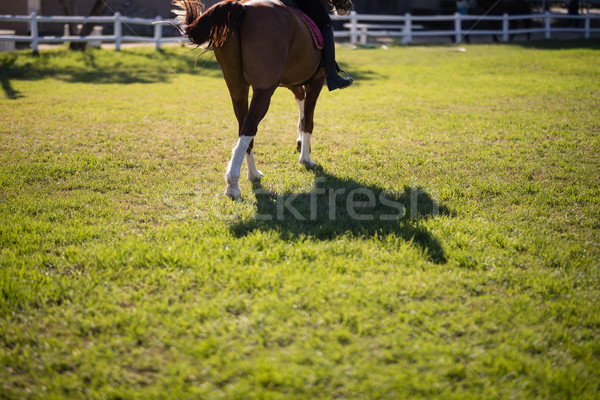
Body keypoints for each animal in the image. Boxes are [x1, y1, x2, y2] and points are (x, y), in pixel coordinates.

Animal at [171, 0, 354, 198]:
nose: (347, 6)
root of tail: (243, 8)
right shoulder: (316, 81)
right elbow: (308, 121)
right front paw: (305, 159)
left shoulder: (292, 82)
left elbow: (302, 106)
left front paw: (300, 142)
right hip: (264, 90)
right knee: (250, 126)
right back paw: (233, 183)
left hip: (238, 88)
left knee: (243, 127)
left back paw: (252, 174)